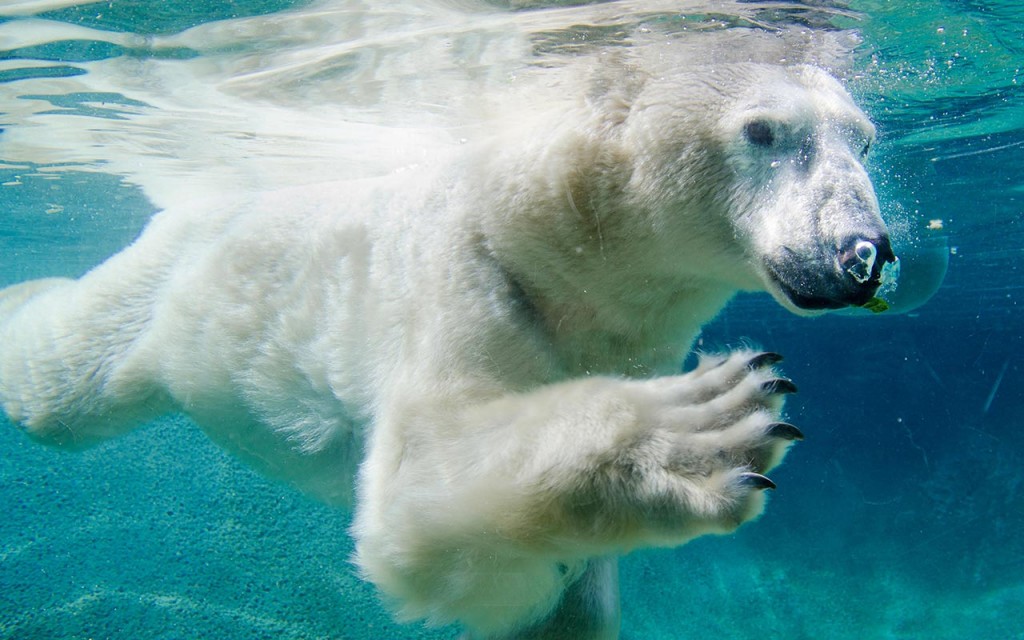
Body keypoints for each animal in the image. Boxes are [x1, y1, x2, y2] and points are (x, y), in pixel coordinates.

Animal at [0, 62, 892, 634]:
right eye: (764, 131)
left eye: (865, 141)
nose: (862, 252)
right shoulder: (463, 274)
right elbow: (421, 484)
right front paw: (712, 425)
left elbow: (573, 601)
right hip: (173, 281)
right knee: (63, 386)